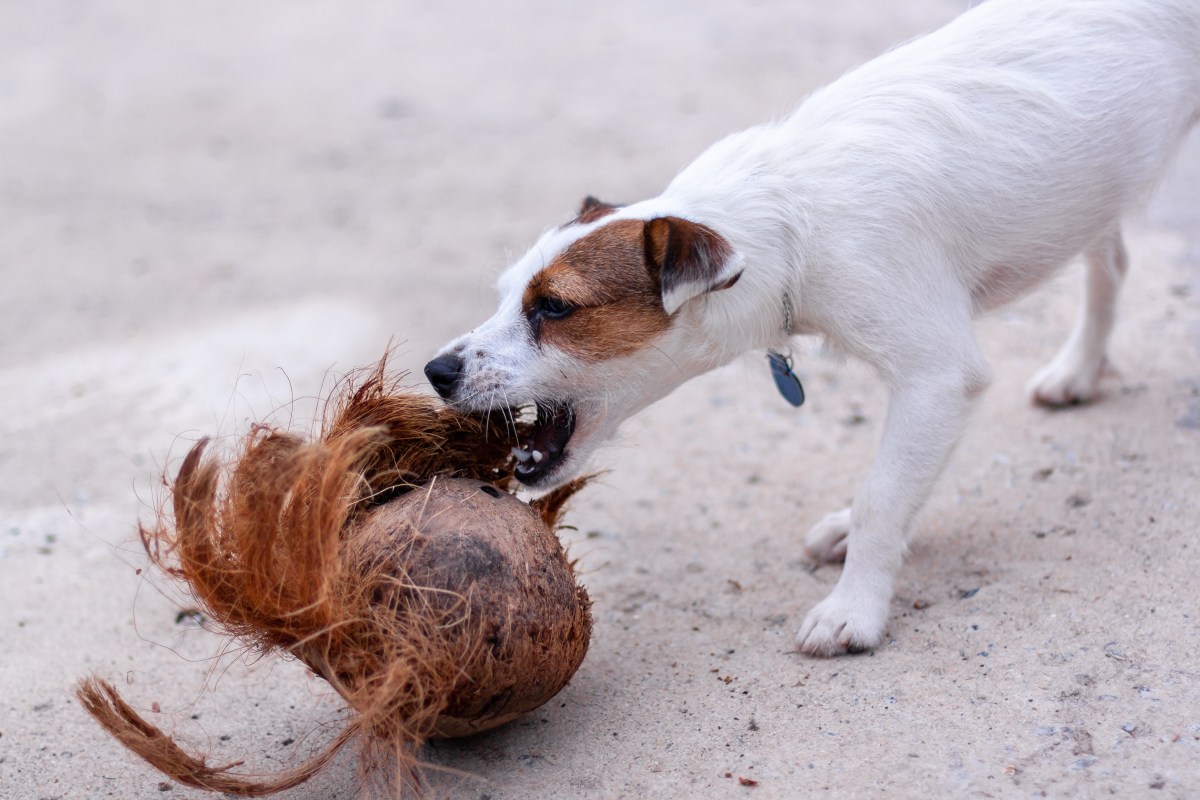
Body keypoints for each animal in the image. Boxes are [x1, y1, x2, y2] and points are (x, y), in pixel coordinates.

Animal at [424, 0, 1200, 657]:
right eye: (505, 295)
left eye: (554, 308)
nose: (437, 372)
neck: (789, 213)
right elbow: (891, 487)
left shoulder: (937, 376)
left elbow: (884, 494)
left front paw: (855, 607)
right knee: (1111, 264)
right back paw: (1079, 370)